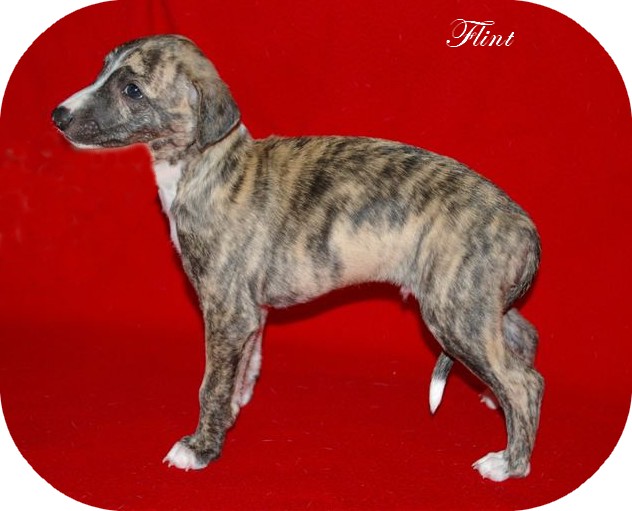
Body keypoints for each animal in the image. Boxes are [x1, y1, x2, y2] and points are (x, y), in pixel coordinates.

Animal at [52, 34, 543, 481]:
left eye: (132, 89)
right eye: (102, 69)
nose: (58, 116)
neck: (212, 166)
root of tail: (525, 227)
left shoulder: (226, 311)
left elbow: (211, 384)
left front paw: (200, 447)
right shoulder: (248, 314)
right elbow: (245, 364)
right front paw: (234, 408)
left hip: (453, 311)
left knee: (525, 383)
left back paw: (509, 462)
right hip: (476, 303)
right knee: (524, 338)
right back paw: (493, 400)